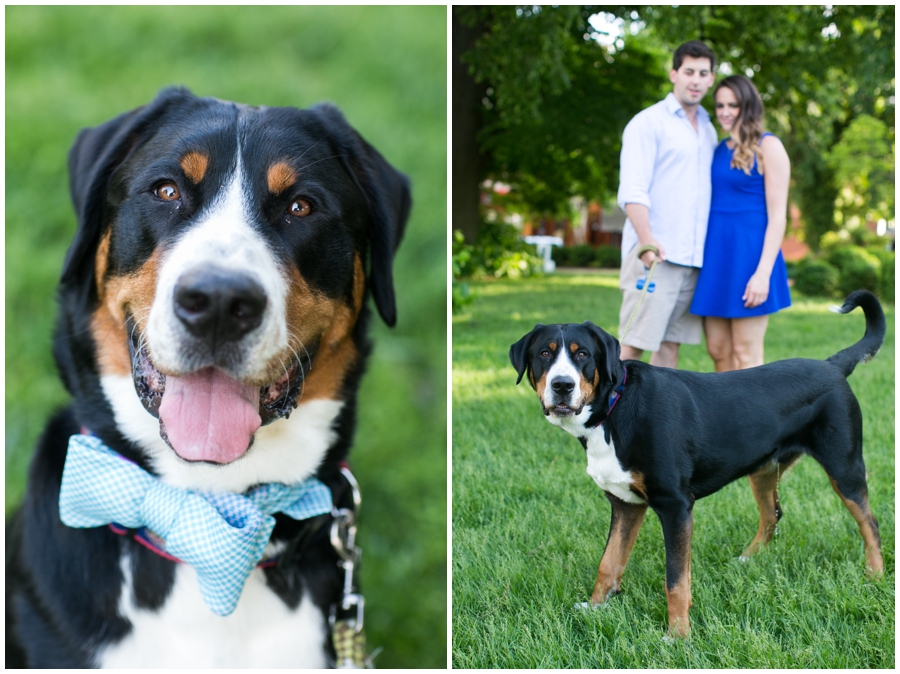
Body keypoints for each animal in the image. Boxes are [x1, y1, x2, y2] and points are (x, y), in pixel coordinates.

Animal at [512, 288, 884, 636]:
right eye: (544, 353)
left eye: (583, 354)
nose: (562, 385)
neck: (614, 410)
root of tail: (831, 365)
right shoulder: (625, 504)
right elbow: (609, 562)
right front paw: (595, 607)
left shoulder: (676, 506)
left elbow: (676, 580)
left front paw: (677, 636)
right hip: (764, 469)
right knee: (772, 514)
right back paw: (747, 560)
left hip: (844, 467)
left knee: (870, 523)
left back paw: (875, 577)